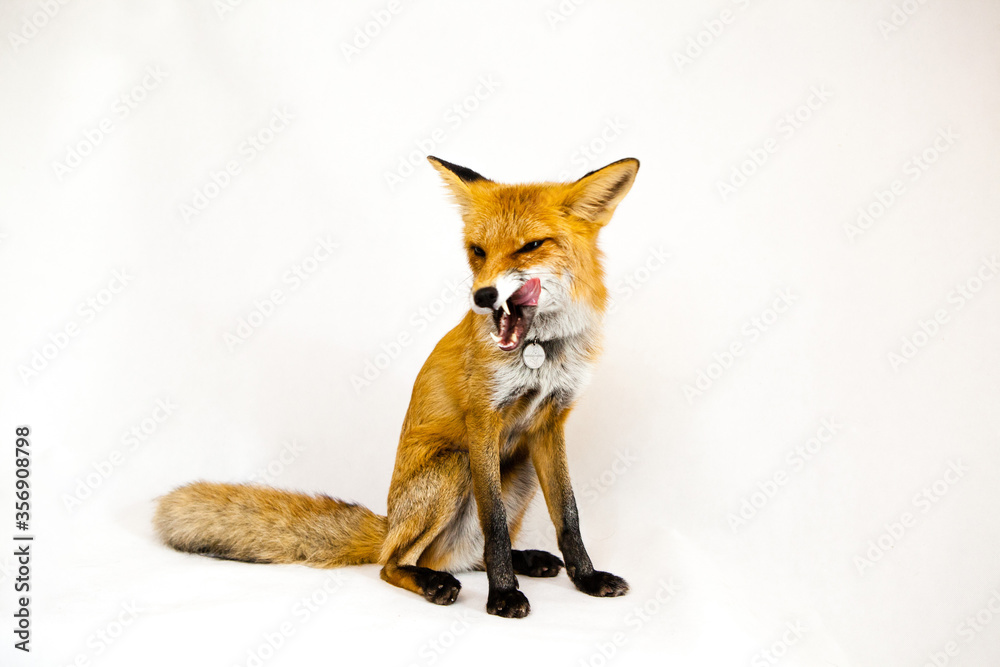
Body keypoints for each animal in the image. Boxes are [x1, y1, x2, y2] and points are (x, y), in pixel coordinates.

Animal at [154, 155, 640, 618]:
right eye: (477, 251)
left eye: (531, 246)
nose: (482, 296)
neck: (541, 352)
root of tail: (389, 524)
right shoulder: (482, 420)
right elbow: (495, 525)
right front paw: (503, 596)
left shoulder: (550, 423)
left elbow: (568, 516)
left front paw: (587, 578)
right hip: (456, 466)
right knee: (395, 563)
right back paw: (433, 581)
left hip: (518, 469)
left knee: (463, 554)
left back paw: (523, 560)